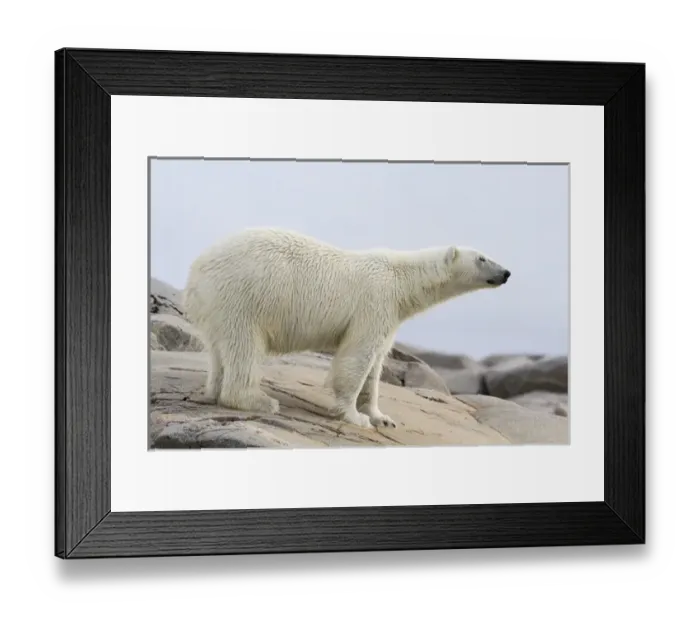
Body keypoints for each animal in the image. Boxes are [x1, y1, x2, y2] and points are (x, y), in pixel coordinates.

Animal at [182, 228, 511, 430]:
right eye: (482, 258)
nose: (506, 272)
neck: (402, 279)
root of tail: (196, 270)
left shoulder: (390, 315)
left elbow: (376, 365)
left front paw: (381, 417)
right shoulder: (375, 302)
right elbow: (357, 357)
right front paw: (354, 417)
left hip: (217, 304)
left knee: (218, 350)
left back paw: (211, 392)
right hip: (242, 296)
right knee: (244, 346)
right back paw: (258, 400)